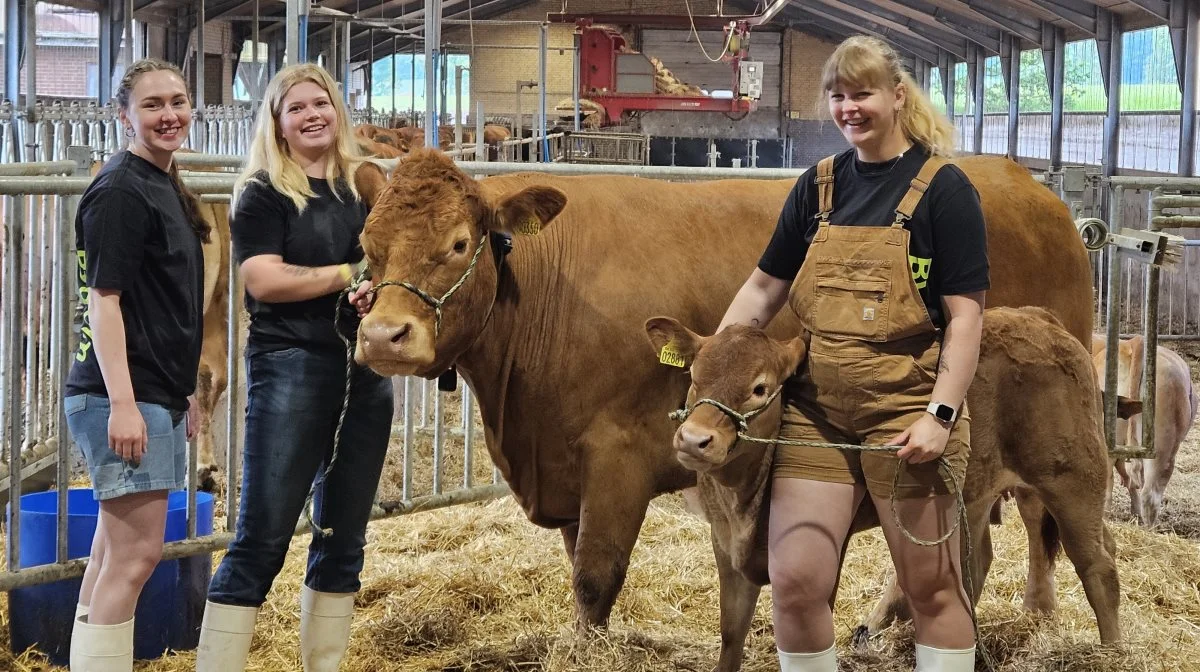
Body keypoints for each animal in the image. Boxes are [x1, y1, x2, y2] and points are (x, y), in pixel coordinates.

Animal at [648, 307, 1123, 667]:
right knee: (979, 560)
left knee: (1098, 566)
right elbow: (731, 632)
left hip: (1073, 479)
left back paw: (1113, 652)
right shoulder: (724, 545)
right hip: (975, 493)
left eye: (759, 388)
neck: (743, 503)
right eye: (694, 376)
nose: (694, 439)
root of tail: (1037, 317)